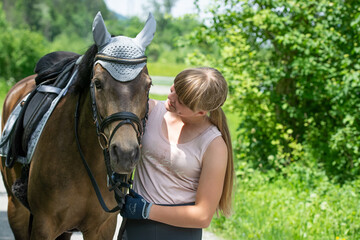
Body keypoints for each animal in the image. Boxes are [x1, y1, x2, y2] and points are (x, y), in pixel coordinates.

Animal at [0, 11, 155, 240]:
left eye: (148, 85)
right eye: (97, 83)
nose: (125, 154)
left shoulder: (102, 228)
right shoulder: (44, 226)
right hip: (16, 210)